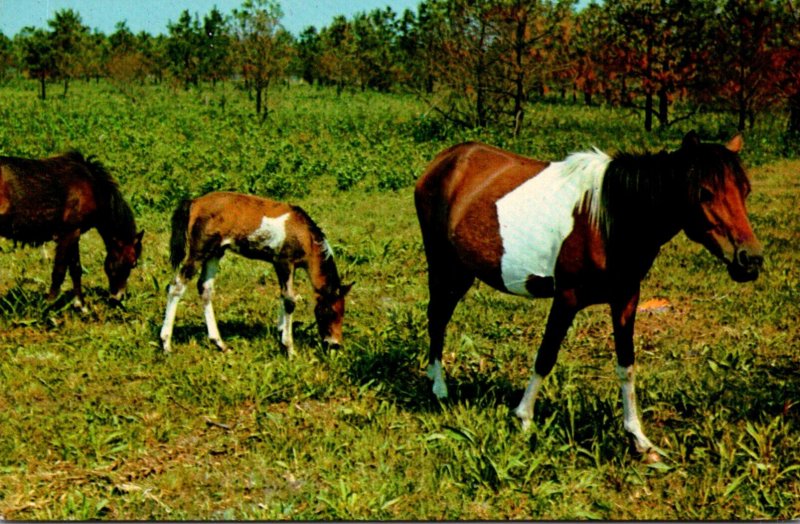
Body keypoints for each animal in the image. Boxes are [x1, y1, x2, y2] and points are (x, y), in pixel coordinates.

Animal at [0, 151, 142, 310]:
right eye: (133, 263)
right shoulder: (68, 233)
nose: (119, 297)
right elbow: (59, 271)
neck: (91, 187)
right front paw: (48, 305)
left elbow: (76, 269)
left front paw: (81, 305)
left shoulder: (75, 232)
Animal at [161, 191, 352, 356]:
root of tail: (194, 202)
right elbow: (290, 300)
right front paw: (289, 348)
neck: (305, 236)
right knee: (176, 286)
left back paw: (220, 343)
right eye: (331, 311)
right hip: (199, 252)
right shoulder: (284, 263)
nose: (335, 344)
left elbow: (283, 296)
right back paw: (166, 344)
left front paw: (280, 332)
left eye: (343, 312)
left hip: (215, 253)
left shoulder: (283, 266)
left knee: (205, 289)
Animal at [416, 132, 764, 462]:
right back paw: (439, 387)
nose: (750, 260)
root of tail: (445, 160)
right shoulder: (567, 299)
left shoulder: (626, 299)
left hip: (462, 270)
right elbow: (546, 356)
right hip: (444, 265)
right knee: (438, 318)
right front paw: (524, 418)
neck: (610, 219)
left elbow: (626, 364)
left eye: (746, 190)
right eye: (704, 192)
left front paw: (638, 439)